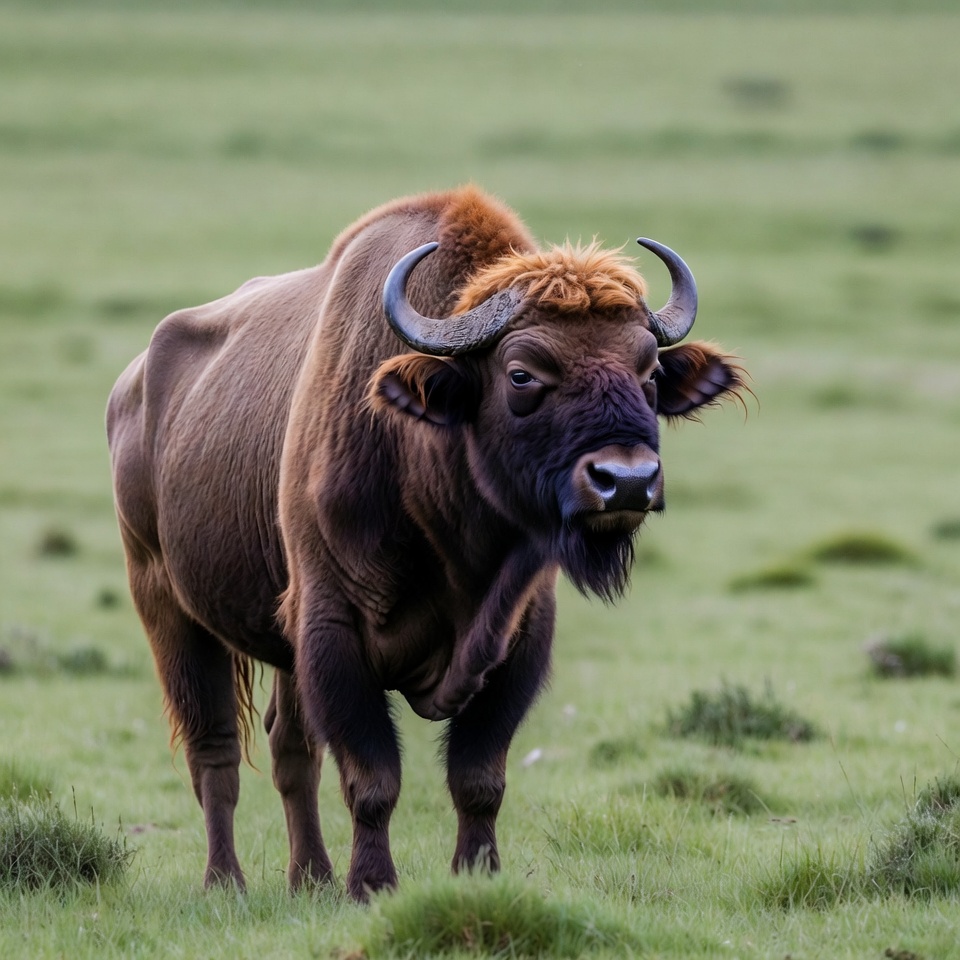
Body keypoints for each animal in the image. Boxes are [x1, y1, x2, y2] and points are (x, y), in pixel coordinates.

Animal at [107, 186, 745, 899]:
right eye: (521, 374)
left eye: (650, 372)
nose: (627, 481)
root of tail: (132, 387)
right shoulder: (332, 630)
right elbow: (372, 779)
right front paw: (371, 884)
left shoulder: (519, 638)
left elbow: (478, 778)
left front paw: (477, 873)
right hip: (167, 607)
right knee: (213, 751)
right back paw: (227, 882)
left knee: (290, 749)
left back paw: (311, 878)